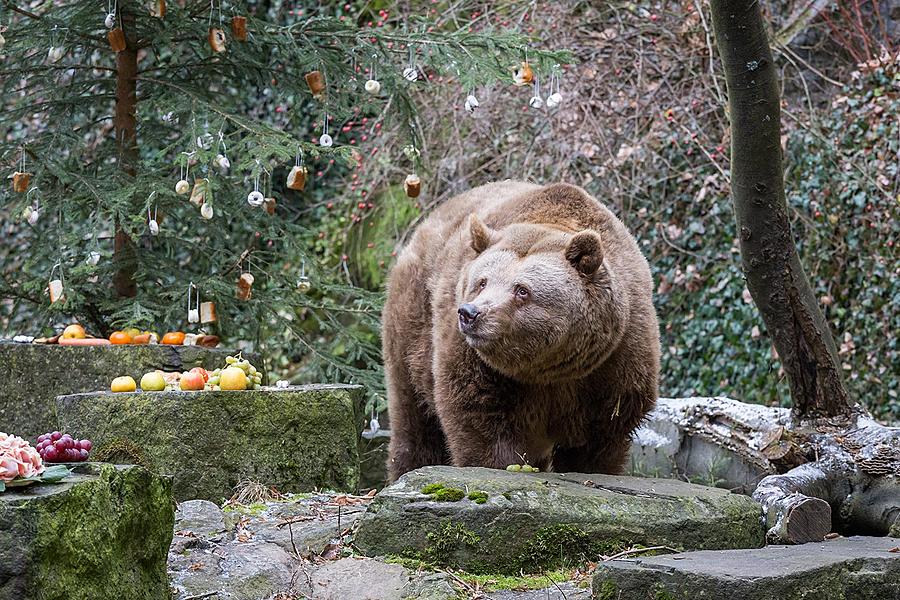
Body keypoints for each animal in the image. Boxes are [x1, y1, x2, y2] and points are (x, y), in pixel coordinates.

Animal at [384, 180, 656, 480]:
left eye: (522, 290)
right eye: (482, 282)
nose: (470, 313)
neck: (548, 369)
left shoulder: (615, 359)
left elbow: (602, 437)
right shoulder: (478, 363)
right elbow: (479, 419)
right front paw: (499, 465)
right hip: (413, 324)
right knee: (414, 416)